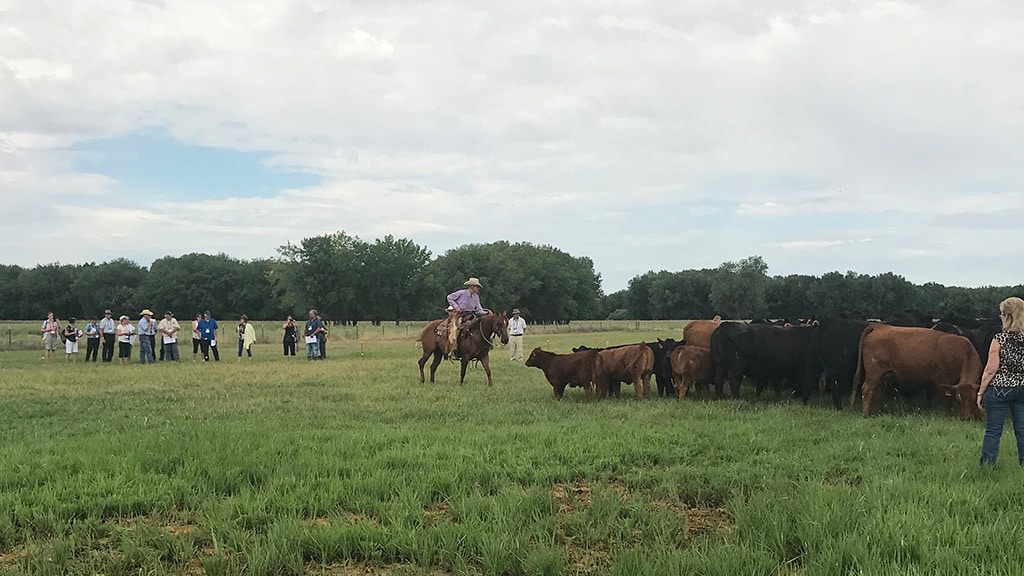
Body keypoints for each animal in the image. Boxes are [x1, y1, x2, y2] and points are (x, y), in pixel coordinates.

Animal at [852, 324, 981, 420]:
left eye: (973, 399)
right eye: (959, 400)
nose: (966, 418)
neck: (964, 352)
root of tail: (879, 326)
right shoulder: (942, 379)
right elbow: (947, 400)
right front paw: (947, 415)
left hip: (882, 374)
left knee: (877, 391)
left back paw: (879, 412)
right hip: (873, 371)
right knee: (867, 389)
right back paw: (866, 414)